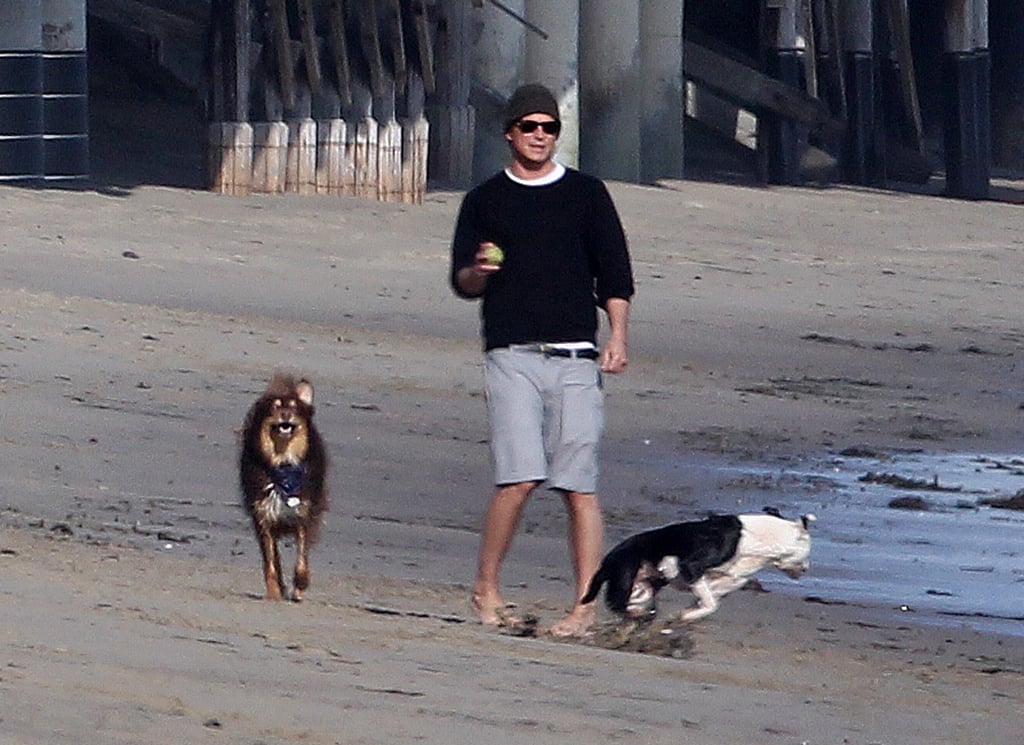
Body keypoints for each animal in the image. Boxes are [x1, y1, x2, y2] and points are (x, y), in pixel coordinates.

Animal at [237, 374, 325, 601]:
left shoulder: (303, 514)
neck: (283, 461)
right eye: (275, 407)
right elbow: (270, 563)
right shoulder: (264, 517)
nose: (286, 413)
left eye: (294, 407)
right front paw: (274, 592)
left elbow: (301, 559)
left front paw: (300, 585)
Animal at [585, 505, 815, 622]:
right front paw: (685, 615)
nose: (806, 569)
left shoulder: (724, 581)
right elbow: (710, 603)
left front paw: (686, 614)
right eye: (807, 554)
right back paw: (639, 614)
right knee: (617, 603)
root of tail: (609, 557)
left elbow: (710, 601)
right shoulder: (692, 568)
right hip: (626, 573)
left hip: (644, 587)